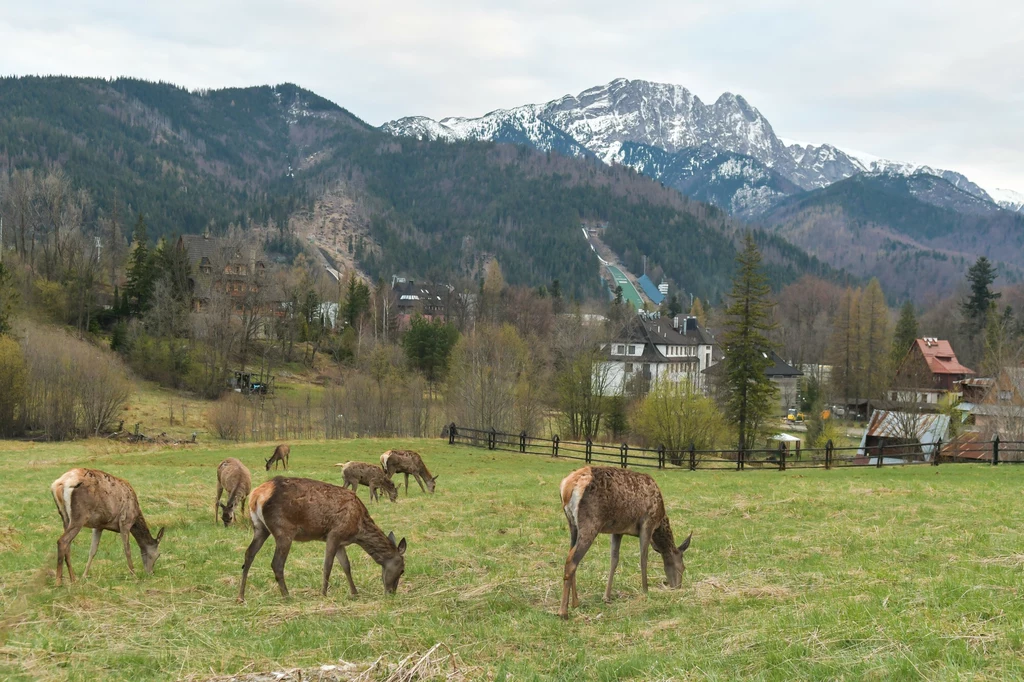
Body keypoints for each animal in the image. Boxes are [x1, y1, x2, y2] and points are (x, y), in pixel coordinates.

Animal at [239, 475, 407, 598]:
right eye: (402, 570)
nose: (391, 593)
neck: (358, 530)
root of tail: (256, 495)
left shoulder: (341, 542)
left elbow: (346, 566)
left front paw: (354, 593)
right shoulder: (334, 534)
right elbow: (328, 565)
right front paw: (324, 593)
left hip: (260, 528)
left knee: (248, 554)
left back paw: (241, 596)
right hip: (283, 530)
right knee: (276, 563)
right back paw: (287, 596)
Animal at [557, 466, 692, 614]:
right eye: (683, 567)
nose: (677, 588)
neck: (660, 520)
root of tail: (566, 487)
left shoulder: (618, 530)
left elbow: (614, 560)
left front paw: (606, 597)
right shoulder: (648, 523)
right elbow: (643, 559)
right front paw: (645, 591)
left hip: (573, 525)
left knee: (570, 555)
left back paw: (575, 603)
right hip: (590, 523)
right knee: (572, 561)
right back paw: (563, 611)